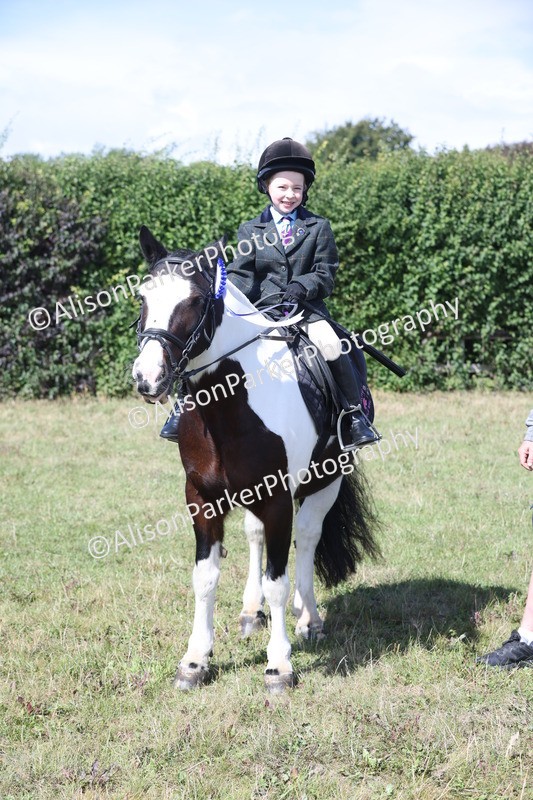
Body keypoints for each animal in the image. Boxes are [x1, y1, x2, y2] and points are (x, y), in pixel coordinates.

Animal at [132, 225, 379, 693]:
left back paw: (309, 618)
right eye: (143, 297)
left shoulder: (279, 499)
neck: (228, 404)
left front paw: (279, 666)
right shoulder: (202, 498)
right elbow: (205, 577)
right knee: (255, 536)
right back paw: (252, 611)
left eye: (195, 300)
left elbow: (278, 582)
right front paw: (195, 661)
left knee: (307, 538)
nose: (147, 377)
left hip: (327, 479)